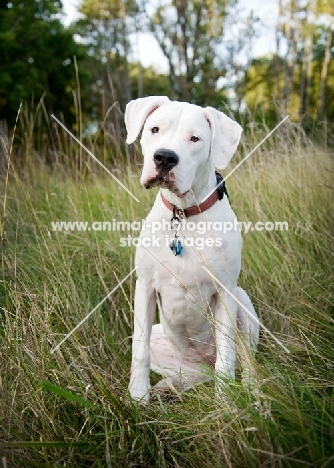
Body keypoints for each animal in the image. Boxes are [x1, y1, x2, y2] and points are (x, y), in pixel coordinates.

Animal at [124, 96, 258, 402]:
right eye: (154, 129)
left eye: (195, 139)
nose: (164, 157)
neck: (183, 213)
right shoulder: (145, 287)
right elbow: (139, 351)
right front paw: (138, 397)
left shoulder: (225, 293)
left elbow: (227, 359)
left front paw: (225, 404)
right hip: (165, 340)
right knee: (194, 375)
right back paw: (168, 387)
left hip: (243, 303)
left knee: (245, 363)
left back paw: (254, 397)